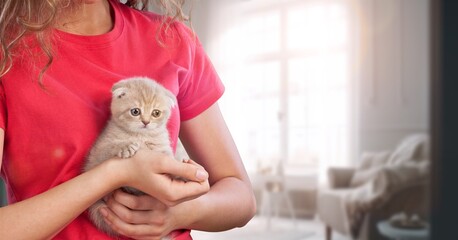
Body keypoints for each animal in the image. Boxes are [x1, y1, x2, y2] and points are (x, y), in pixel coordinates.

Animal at [83, 76, 176, 237]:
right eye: (135, 111)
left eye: (156, 113)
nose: (146, 122)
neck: (141, 136)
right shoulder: (98, 152)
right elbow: (110, 147)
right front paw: (125, 146)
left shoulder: (162, 147)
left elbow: (168, 156)